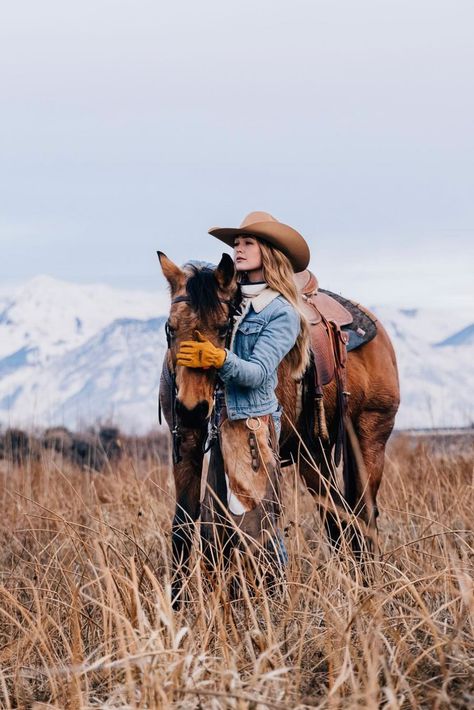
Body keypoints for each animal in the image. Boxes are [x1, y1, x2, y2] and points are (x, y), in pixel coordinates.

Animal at [158, 253, 400, 604]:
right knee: (337, 517)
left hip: (370, 436)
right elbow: (186, 522)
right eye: (171, 328)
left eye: (222, 328)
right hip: (313, 453)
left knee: (361, 515)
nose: (192, 408)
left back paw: (366, 586)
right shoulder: (189, 443)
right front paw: (179, 605)